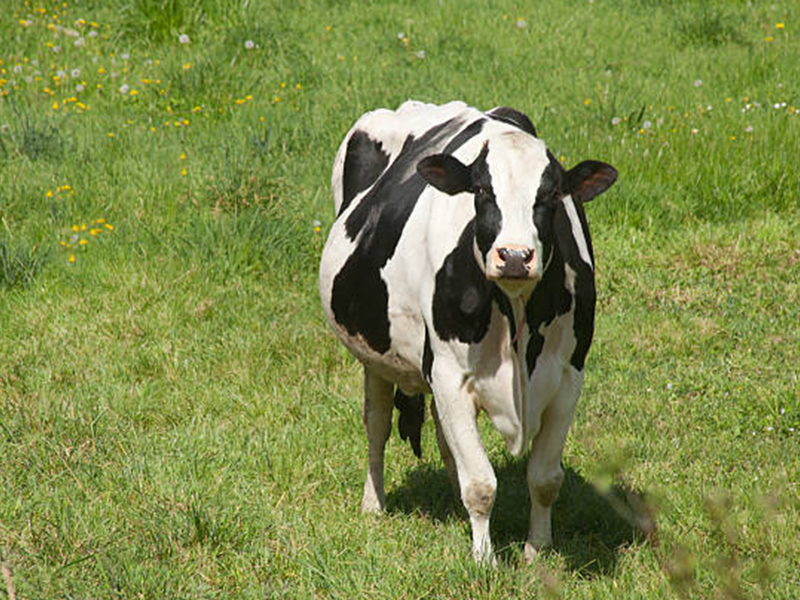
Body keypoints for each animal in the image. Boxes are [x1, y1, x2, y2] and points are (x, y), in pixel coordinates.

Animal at [318, 99, 620, 564]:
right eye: (481, 192)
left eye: (551, 195)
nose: (514, 256)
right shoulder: (448, 374)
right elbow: (480, 483)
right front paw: (484, 559)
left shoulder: (569, 375)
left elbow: (545, 478)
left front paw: (537, 551)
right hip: (376, 356)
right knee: (377, 423)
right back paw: (374, 504)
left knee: (445, 442)